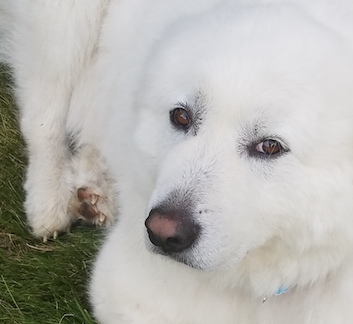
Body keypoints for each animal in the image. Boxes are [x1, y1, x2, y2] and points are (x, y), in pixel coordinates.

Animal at [2, 0, 352, 322]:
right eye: (181, 116)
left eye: (269, 146)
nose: (162, 233)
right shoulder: (124, 287)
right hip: (63, 32)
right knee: (44, 119)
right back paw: (49, 202)